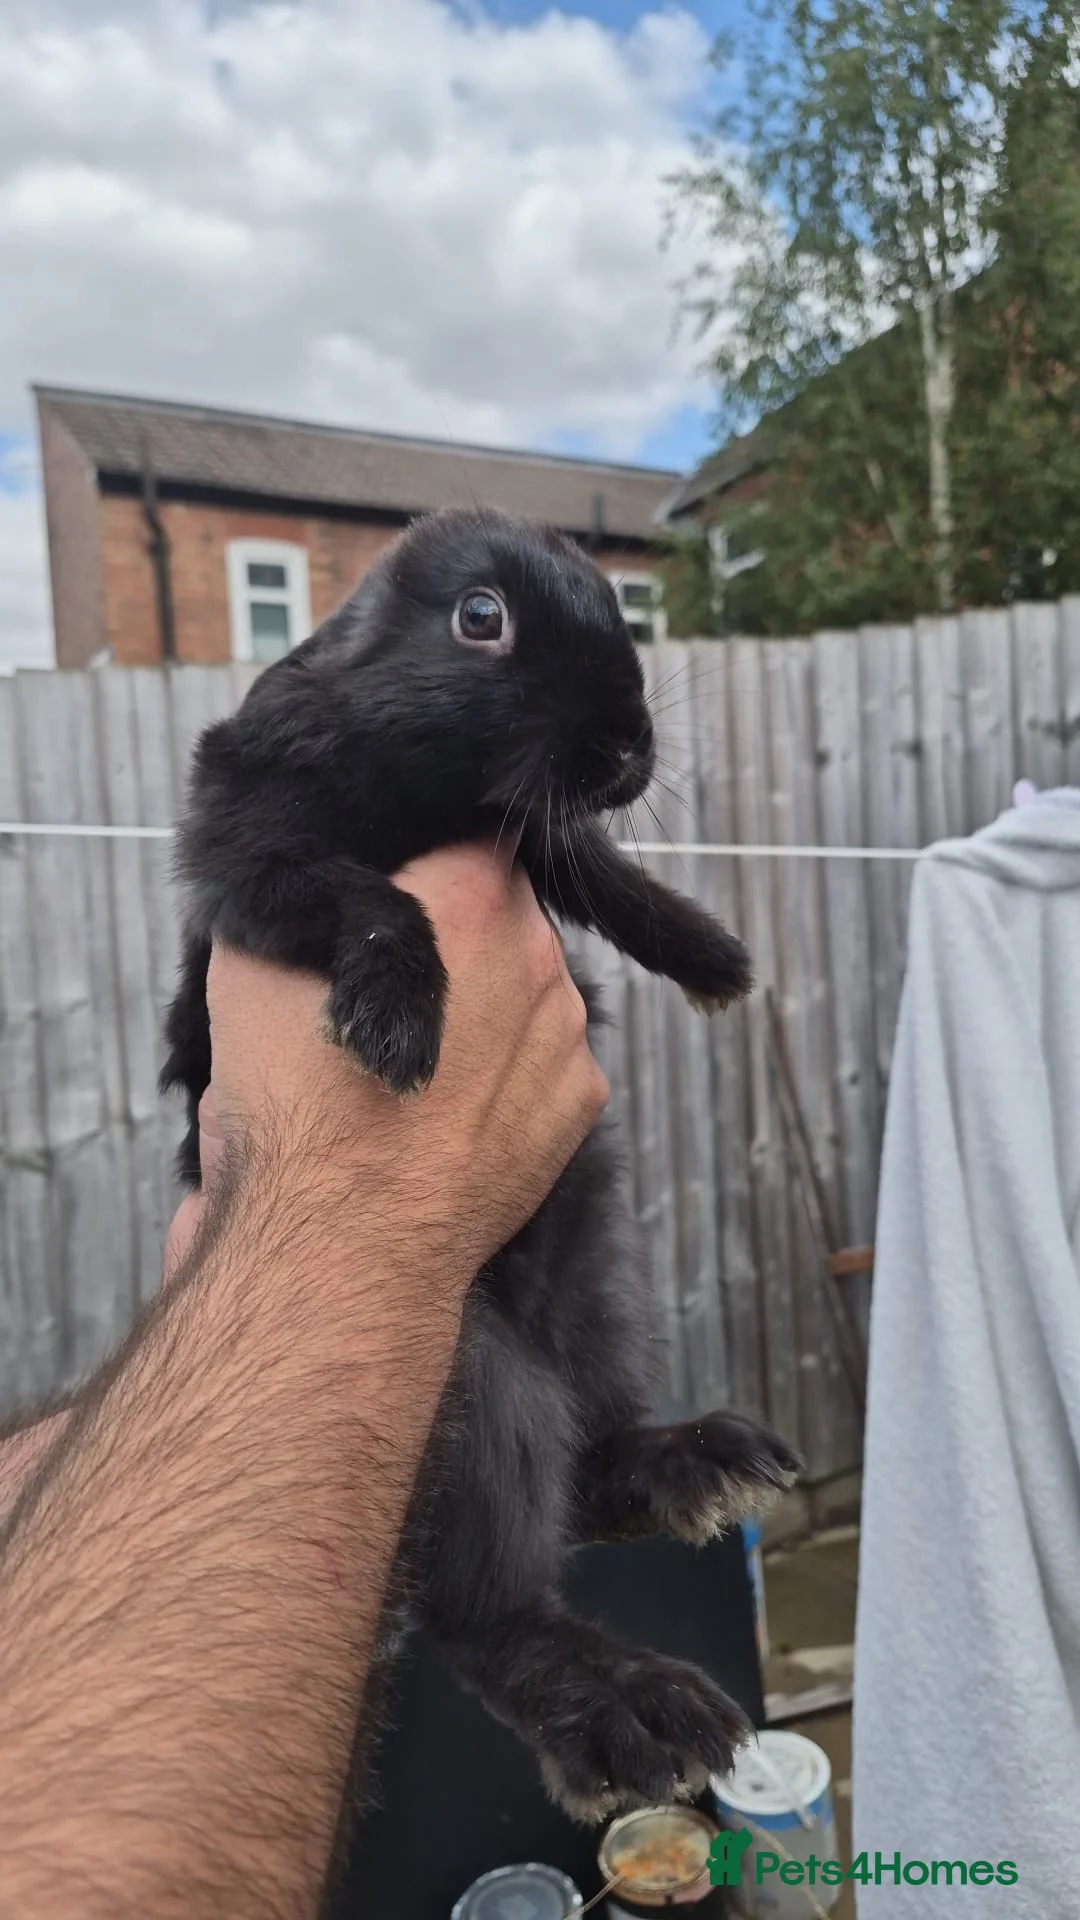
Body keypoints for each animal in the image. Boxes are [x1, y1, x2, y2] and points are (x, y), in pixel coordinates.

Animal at [161, 506, 800, 1824]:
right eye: (480, 618)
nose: (626, 747)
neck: (423, 784)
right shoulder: (252, 855)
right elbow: (366, 900)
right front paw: (398, 1026)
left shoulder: (533, 834)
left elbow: (594, 867)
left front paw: (711, 958)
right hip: (477, 1385)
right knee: (490, 1615)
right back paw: (628, 1712)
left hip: (598, 1283)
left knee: (592, 1468)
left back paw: (699, 1465)